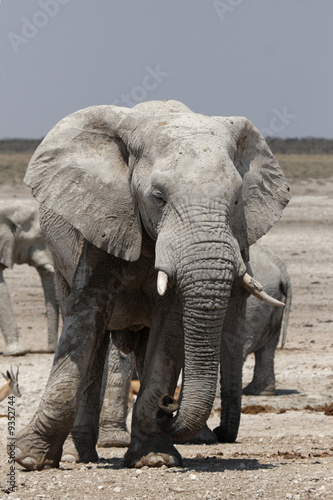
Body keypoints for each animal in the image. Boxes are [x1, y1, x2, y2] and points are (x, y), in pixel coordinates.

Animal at [13, 99, 288, 470]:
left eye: (235, 200)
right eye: (158, 197)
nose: (169, 405)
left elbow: (169, 332)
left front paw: (155, 459)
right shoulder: (105, 220)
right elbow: (86, 317)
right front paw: (29, 460)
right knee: (95, 344)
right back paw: (79, 455)